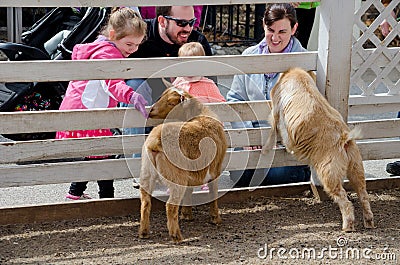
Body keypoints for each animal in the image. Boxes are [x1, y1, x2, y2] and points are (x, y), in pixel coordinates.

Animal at [138, 86, 227, 241]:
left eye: (170, 102)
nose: (151, 111)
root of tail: (155, 142)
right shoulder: (215, 170)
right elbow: (213, 193)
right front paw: (215, 219)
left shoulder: (191, 174)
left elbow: (189, 192)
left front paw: (187, 215)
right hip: (176, 178)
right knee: (170, 205)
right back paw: (176, 236)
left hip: (146, 174)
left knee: (145, 202)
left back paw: (144, 232)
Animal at [262, 67, 376, 230]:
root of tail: (344, 139)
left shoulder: (276, 109)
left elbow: (273, 128)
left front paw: (266, 149)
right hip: (356, 168)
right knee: (363, 195)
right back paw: (368, 222)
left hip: (329, 173)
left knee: (344, 200)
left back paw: (347, 227)